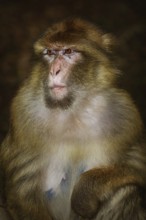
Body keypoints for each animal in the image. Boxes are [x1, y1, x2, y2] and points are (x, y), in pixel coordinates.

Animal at [0, 17, 146, 220]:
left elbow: (136, 166)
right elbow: (23, 193)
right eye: (50, 53)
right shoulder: (23, 113)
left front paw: (85, 194)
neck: (72, 109)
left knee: (125, 190)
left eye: (68, 51)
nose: (54, 70)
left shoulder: (126, 115)